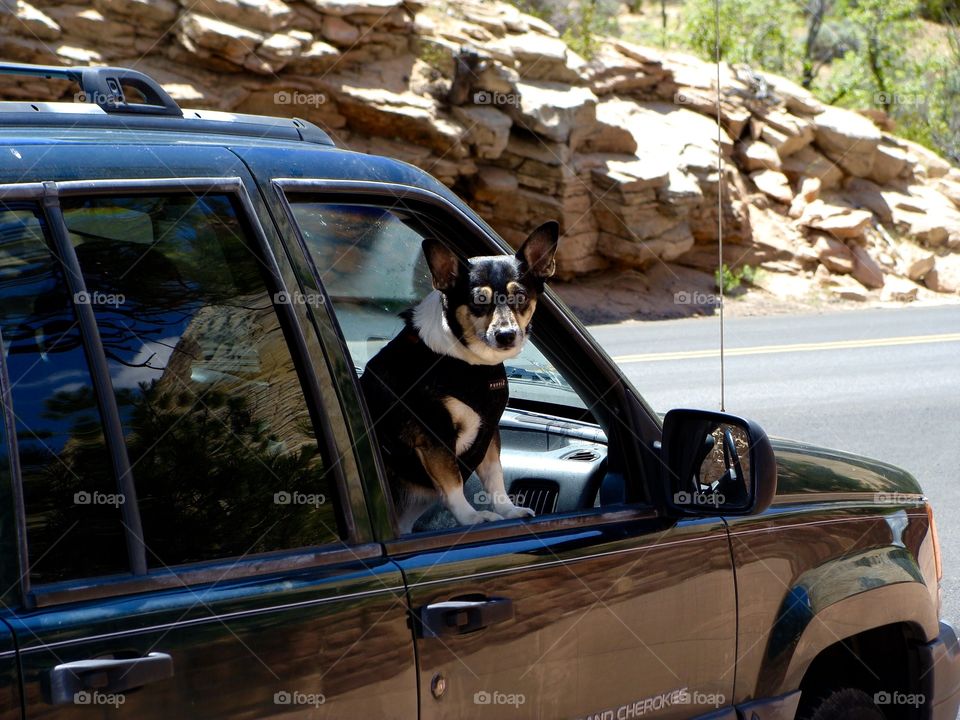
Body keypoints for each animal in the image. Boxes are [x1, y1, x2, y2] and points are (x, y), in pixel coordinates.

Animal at [360, 222, 560, 532]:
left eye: (520, 297)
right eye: (479, 300)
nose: (506, 335)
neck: (470, 365)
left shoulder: (489, 432)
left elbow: (494, 477)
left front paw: (508, 510)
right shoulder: (434, 437)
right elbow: (452, 484)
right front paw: (471, 517)